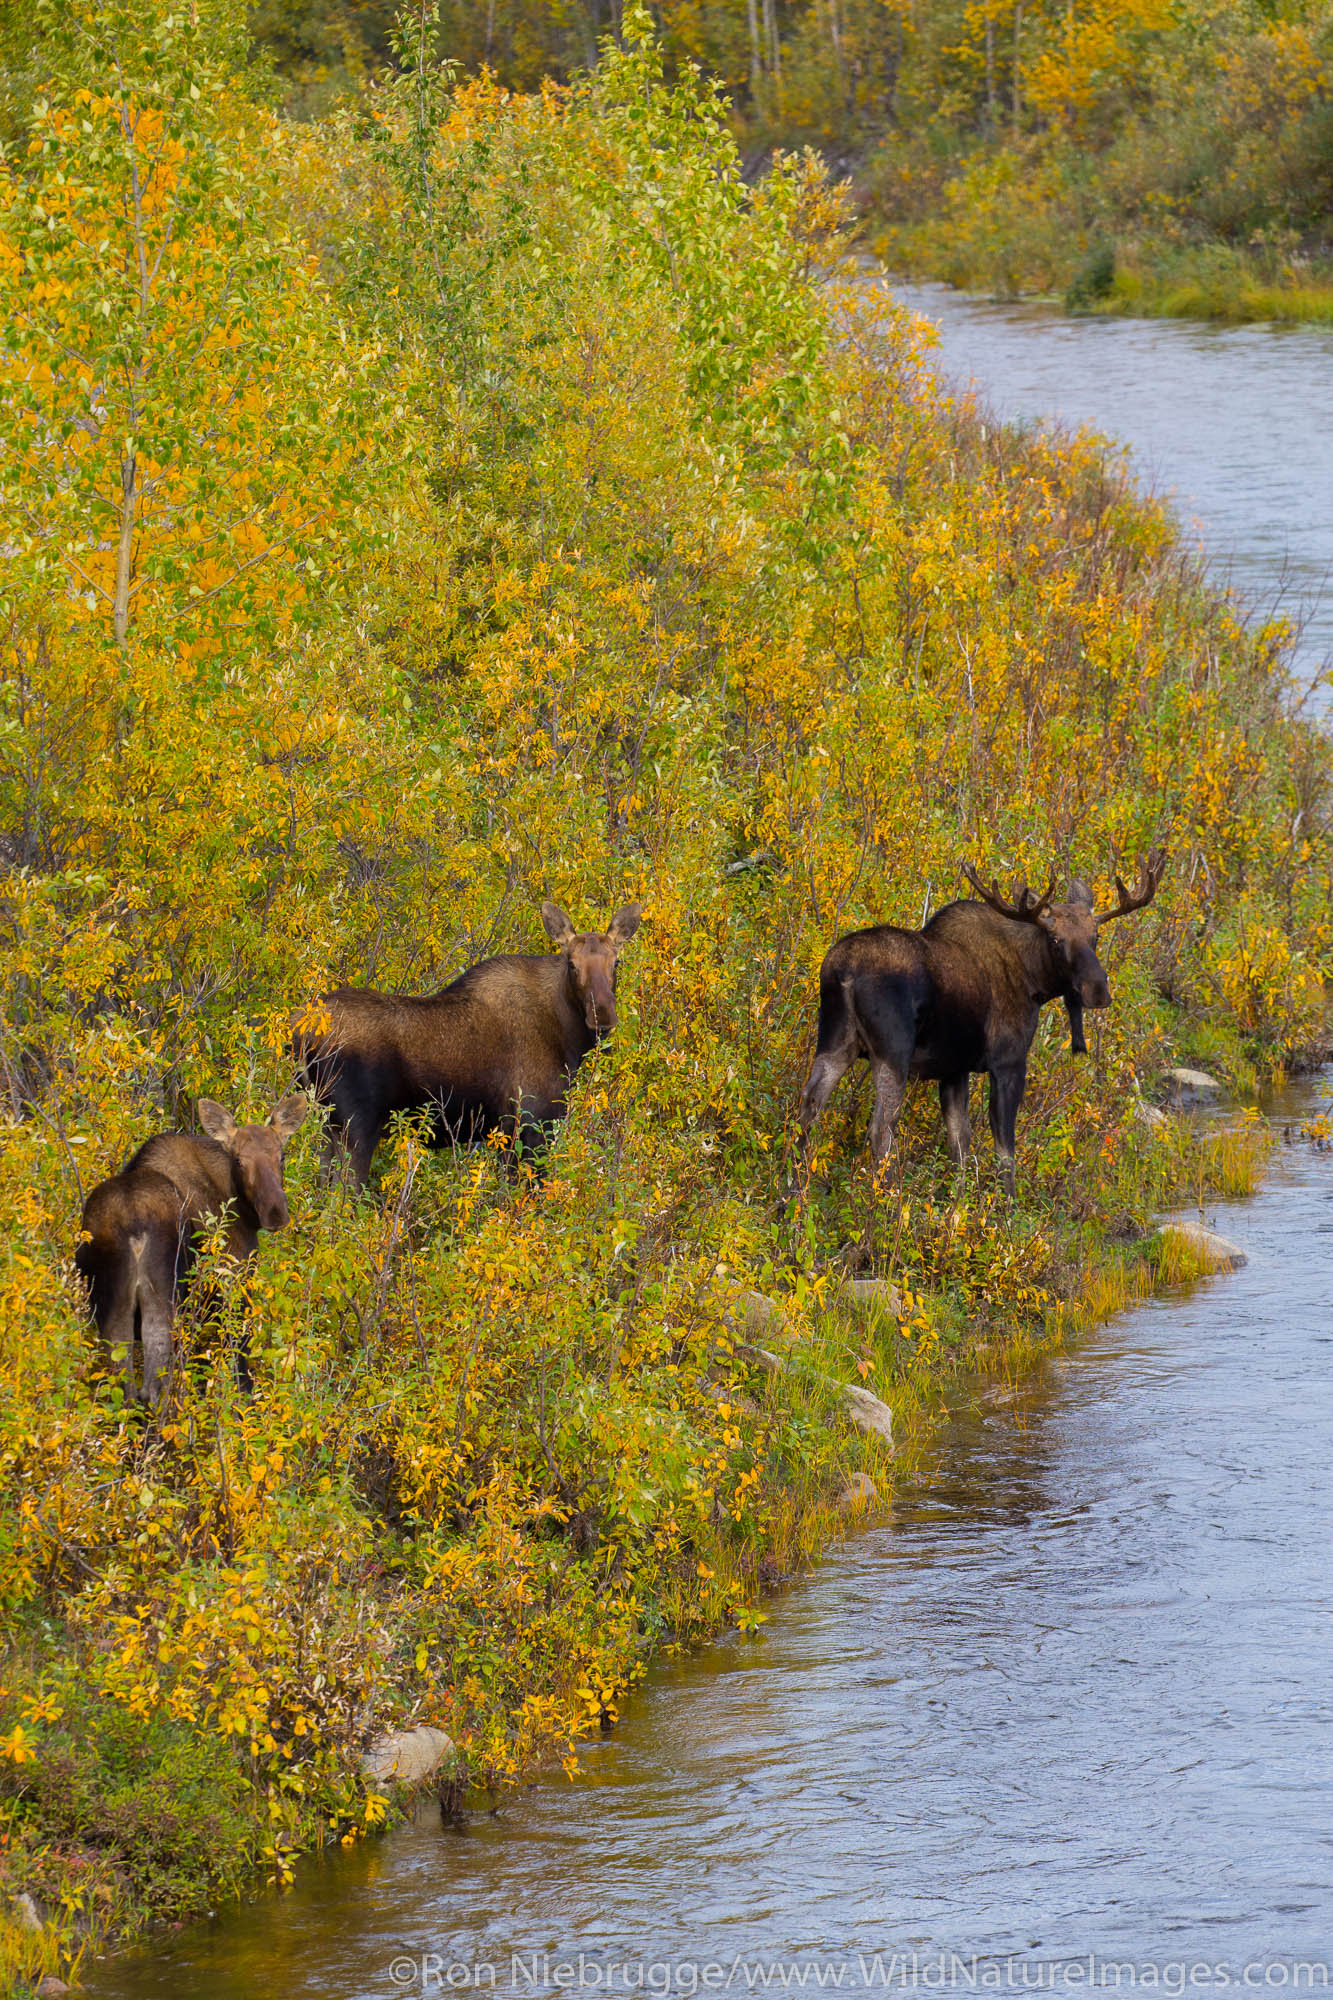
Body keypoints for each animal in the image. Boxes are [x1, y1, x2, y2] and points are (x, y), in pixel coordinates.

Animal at [76, 1096, 308, 1408]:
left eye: (281, 1156)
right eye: (239, 1160)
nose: (275, 1212)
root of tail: (131, 1224)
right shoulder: (233, 1284)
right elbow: (239, 1366)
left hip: (109, 1301)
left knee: (122, 1387)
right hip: (165, 1294)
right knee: (153, 1386)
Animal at [292, 904, 644, 1184]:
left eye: (617, 963)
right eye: (572, 963)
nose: (602, 1014)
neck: (568, 1040)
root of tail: (300, 1035)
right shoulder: (531, 1122)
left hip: (325, 1126)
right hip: (356, 1126)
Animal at [792, 856, 1160, 1192]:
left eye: (1095, 936)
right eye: (1055, 940)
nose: (1098, 989)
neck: (1034, 981)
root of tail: (843, 972)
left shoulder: (954, 1069)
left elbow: (960, 1145)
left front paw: (958, 1206)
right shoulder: (1008, 1064)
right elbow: (1005, 1153)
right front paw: (1006, 1211)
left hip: (835, 1042)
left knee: (808, 1108)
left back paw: (793, 1193)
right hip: (891, 1054)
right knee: (880, 1127)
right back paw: (886, 1200)